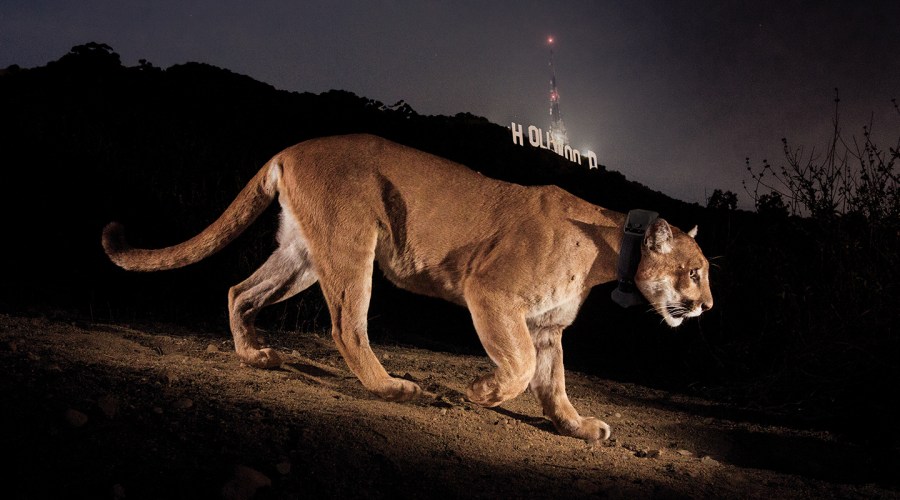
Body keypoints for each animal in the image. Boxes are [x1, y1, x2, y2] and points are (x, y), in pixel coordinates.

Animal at [102, 134, 713, 441]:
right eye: (696, 271)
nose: (707, 305)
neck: (609, 249)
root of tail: (292, 148)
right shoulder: (491, 293)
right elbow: (518, 368)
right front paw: (481, 392)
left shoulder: (547, 326)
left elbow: (553, 385)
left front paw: (579, 426)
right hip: (353, 242)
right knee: (347, 326)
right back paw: (396, 388)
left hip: (302, 255)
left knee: (239, 291)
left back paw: (255, 355)